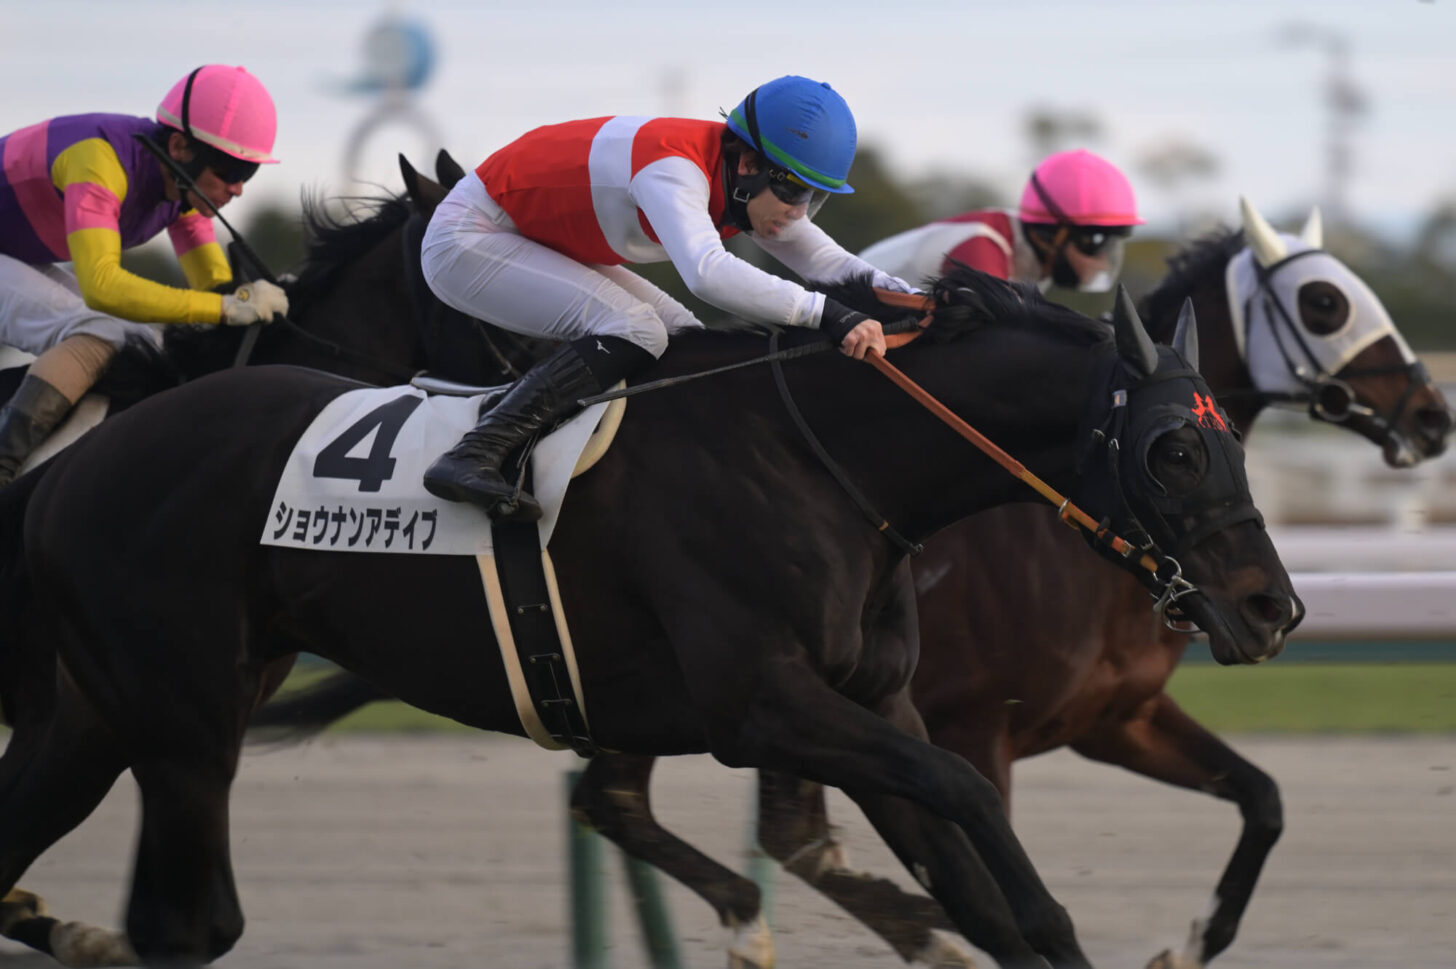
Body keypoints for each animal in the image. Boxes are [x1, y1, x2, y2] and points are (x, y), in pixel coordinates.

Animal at [0, 264, 1298, 966]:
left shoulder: (876, 710)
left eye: (1233, 440)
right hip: (181, 720)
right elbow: (973, 812)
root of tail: (68, 469)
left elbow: (982, 890)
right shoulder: (762, 707)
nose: (1271, 607)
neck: (820, 463)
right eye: (1173, 448)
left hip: (97, 715)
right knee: (190, 921)